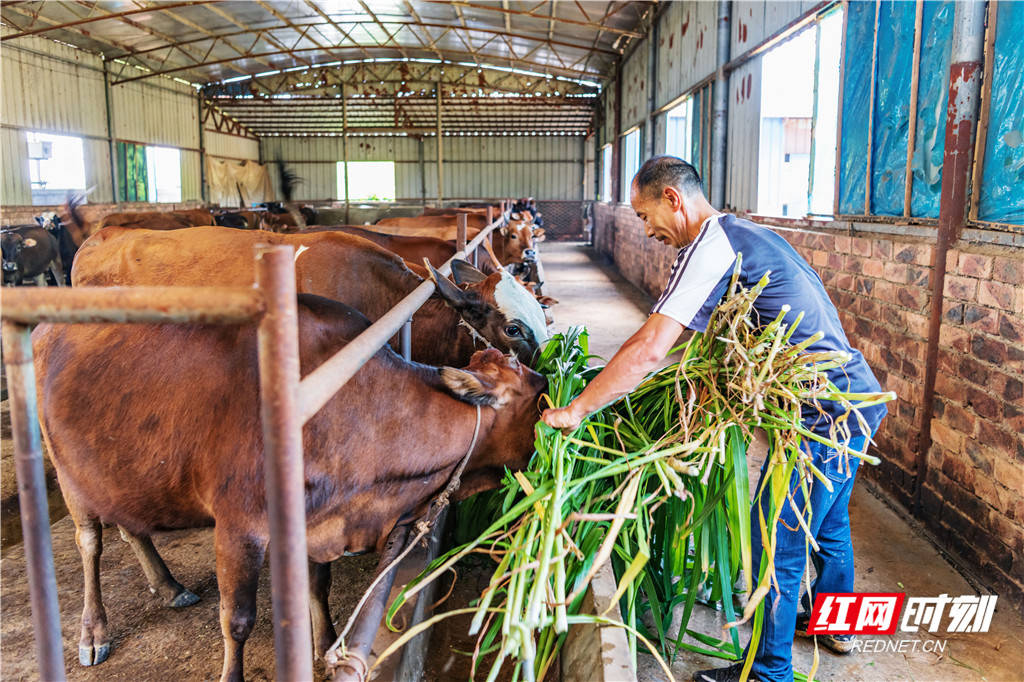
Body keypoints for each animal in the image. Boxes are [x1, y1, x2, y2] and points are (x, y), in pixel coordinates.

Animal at [34, 301, 544, 675]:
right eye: (540, 398)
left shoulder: (318, 520)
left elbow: (318, 585)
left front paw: (325, 642)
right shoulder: (238, 528)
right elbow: (237, 620)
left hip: (118, 473)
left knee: (131, 525)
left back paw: (169, 585)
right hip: (67, 470)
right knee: (90, 543)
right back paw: (93, 634)